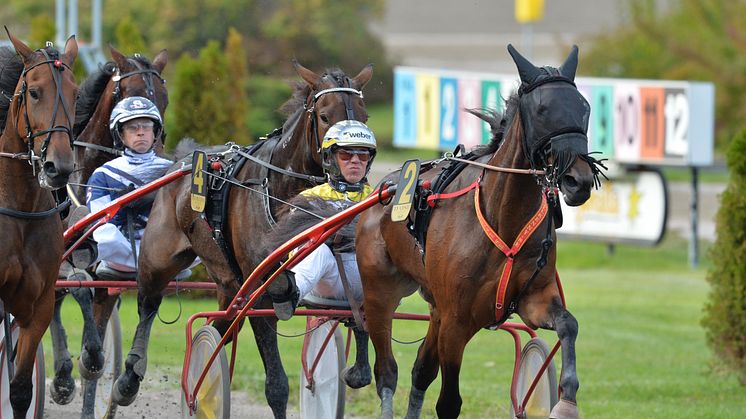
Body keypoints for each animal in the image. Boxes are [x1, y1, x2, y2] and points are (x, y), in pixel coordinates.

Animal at [50, 46, 169, 406]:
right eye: (131, 93)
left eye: (165, 98)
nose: (152, 147)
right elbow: (77, 288)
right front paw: (71, 370)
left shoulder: (115, 276)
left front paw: (126, 378)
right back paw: (61, 375)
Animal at [109, 60, 372, 418]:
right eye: (324, 115)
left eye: (364, 114)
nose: (353, 159)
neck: (280, 190)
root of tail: (182, 162)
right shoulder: (259, 293)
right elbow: (276, 385)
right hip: (159, 257)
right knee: (148, 304)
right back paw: (128, 381)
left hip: (228, 283)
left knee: (221, 327)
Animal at [354, 44, 604, 418]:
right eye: (542, 109)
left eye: (585, 108)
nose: (579, 181)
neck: (504, 218)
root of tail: (382, 189)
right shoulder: (457, 320)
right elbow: (448, 402)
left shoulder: (533, 299)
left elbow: (568, 324)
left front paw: (567, 400)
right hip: (380, 293)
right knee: (386, 371)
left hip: (434, 305)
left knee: (420, 370)